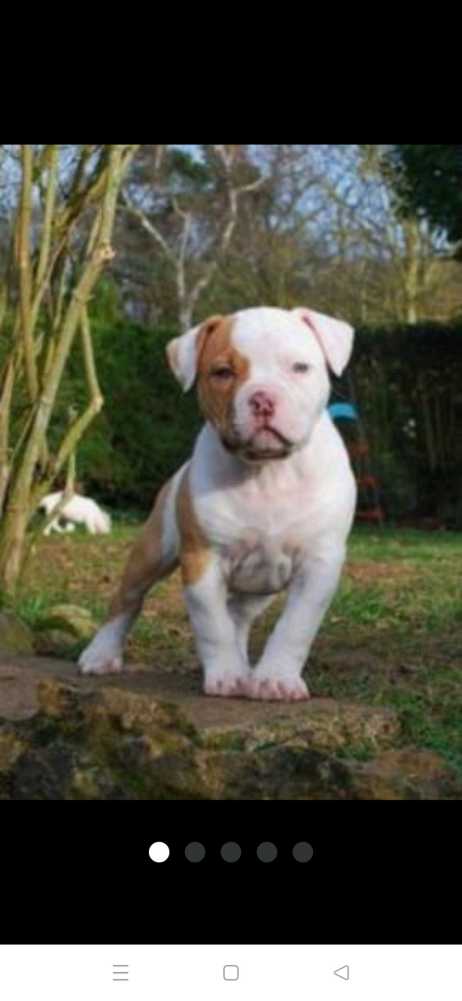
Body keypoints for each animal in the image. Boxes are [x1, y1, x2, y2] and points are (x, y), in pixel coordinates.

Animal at [79, 307, 357, 702]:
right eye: (223, 372)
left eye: (299, 367)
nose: (263, 399)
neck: (267, 471)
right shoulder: (202, 559)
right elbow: (213, 625)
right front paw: (226, 675)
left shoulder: (318, 565)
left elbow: (294, 626)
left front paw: (274, 679)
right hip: (152, 552)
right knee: (127, 600)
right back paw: (100, 655)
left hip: (256, 587)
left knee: (238, 616)